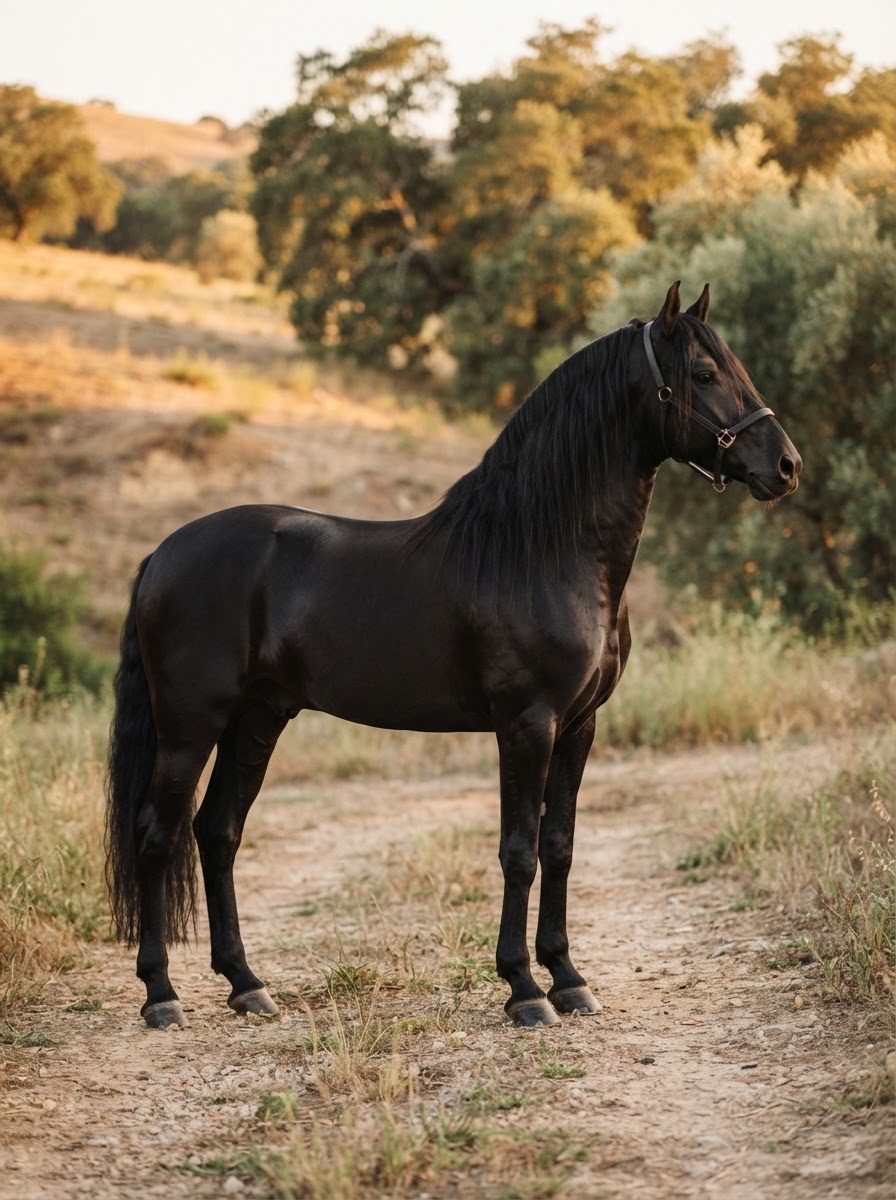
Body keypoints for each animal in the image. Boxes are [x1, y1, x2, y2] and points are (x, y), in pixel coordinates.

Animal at [105, 283, 801, 1030]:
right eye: (703, 373)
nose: (786, 466)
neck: (544, 549)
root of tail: (161, 554)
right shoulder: (527, 724)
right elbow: (519, 852)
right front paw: (524, 989)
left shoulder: (580, 726)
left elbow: (559, 846)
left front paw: (568, 978)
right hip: (189, 727)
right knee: (158, 837)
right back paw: (162, 995)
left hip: (258, 717)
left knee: (218, 831)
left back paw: (247, 984)